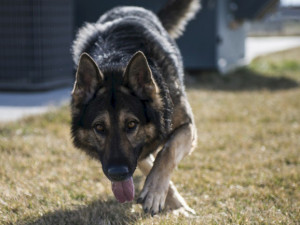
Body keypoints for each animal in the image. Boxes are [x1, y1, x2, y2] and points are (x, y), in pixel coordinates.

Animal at [71, 0, 199, 215]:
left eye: (131, 124)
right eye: (99, 128)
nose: (117, 174)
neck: (116, 60)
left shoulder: (187, 127)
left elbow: (167, 152)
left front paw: (156, 193)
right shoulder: (136, 155)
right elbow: (148, 162)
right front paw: (172, 201)